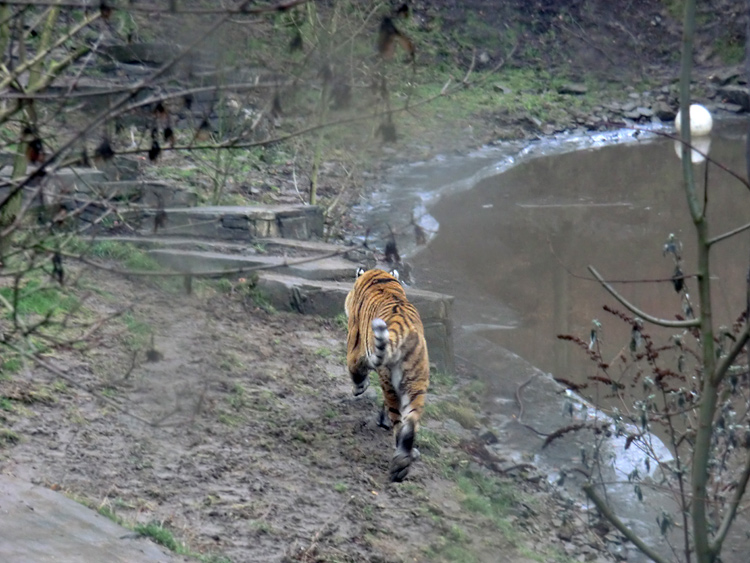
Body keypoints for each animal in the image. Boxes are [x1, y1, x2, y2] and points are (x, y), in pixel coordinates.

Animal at [346, 266, 432, 482]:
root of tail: (405, 328)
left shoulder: (355, 347)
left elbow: (355, 370)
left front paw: (359, 388)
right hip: (416, 382)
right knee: (411, 421)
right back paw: (403, 463)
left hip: (390, 382)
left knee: (400, 423)